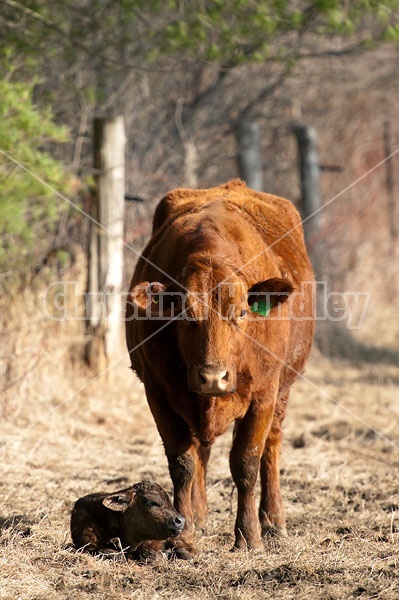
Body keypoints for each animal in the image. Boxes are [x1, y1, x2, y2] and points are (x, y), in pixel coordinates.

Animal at [126, 179, 314, 556]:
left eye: (241, 312)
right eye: (186, 314)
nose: (213, 377)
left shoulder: (264, 394)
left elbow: (246, 462)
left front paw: (249, 536)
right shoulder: (157, 392)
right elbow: (182, 463)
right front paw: (182, 535)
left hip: (282, 391)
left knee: (271, 446)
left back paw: (273, 520)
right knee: (201, 448)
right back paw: (197, 515)